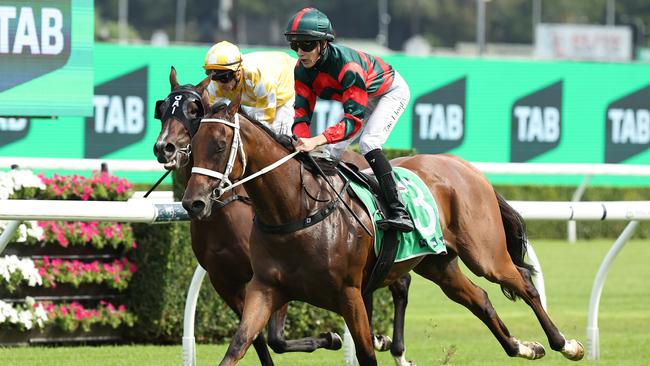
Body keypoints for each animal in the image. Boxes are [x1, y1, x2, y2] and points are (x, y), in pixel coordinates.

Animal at [152, 67, 410, 364]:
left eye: (194, 110)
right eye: (163, 109)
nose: (164, 147)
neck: (226, 208)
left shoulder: (271, 277)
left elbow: (276, 337)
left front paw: (331, 338)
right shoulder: (226, 280)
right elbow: (256, 338)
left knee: (400, 282)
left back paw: (393, 346)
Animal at [181, 97, 584, 366]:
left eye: (219, 145)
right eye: (191, 148)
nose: (193, 204)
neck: (296, 211)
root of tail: (463, 165)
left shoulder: (350, 294)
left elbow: (365, 352)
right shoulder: (264, 289)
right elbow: (239, 345)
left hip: (485, 253)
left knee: (524, 284)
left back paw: (565, 344)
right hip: (437, 264)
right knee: (480, 299)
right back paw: (524, 347)